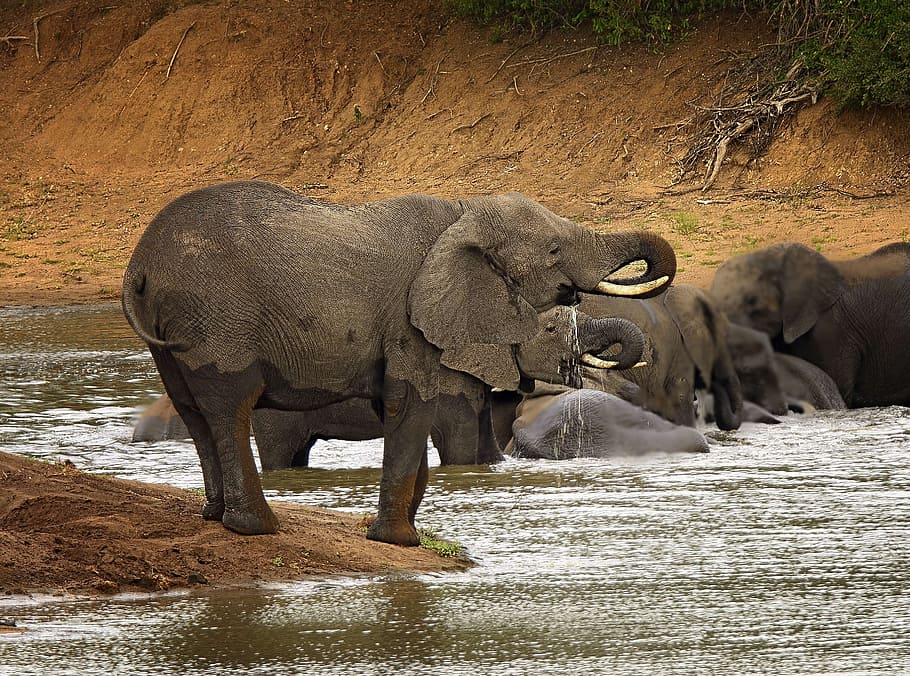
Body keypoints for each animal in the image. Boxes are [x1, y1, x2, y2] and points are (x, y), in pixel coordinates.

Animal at [122, 180, 676, 545]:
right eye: (555, 249)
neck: (462, 213)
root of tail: (139, 265)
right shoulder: (414, 322)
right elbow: (417, 410)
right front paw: (397, 541)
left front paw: (411, 532)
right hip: (217, 320)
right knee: (231, 408)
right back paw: (257, 527)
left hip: (175, 332)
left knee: (193, 408)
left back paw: (214, 517)